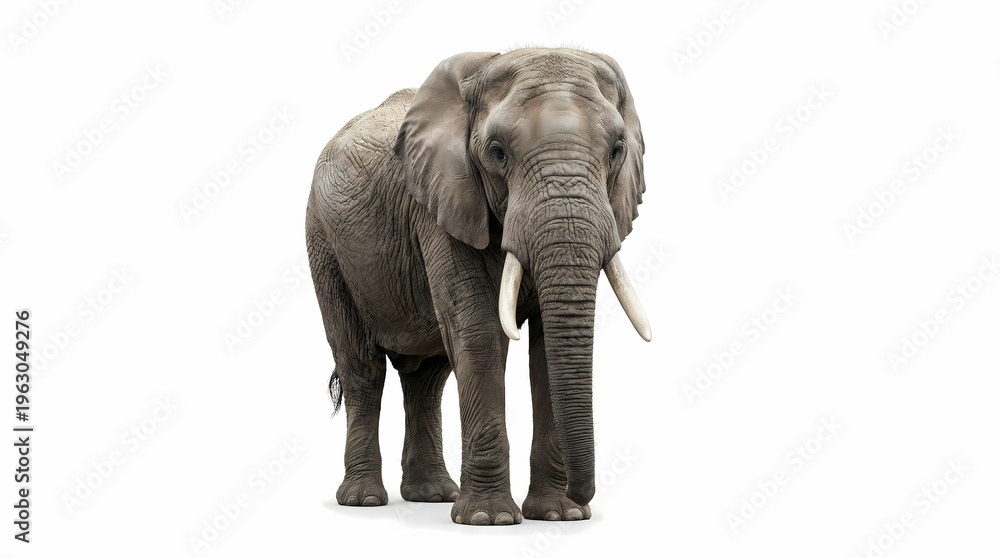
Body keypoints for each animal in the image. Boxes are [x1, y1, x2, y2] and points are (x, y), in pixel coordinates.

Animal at [305, 48, 650, 526]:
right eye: (497, 152)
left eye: (617, 150)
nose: (583, 496)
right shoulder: (438, 206)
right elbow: (480, 332)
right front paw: (491, 520)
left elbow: (545, 349)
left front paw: (557, 515)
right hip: (325, 244)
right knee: (362, 367)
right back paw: (364, 500)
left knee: (427, 378)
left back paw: (431, 495)